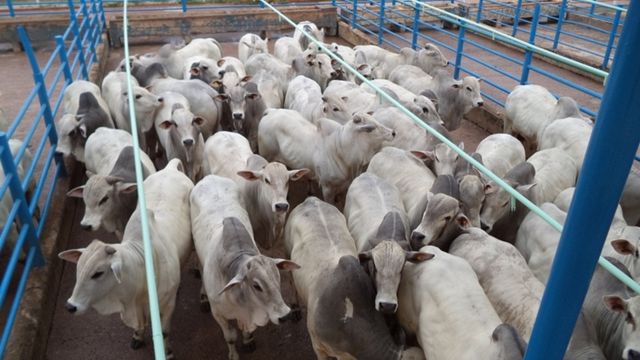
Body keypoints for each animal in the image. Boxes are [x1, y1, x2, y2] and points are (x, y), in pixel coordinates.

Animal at [191, 176, 298, 360]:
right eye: (256, 285)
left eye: (278, 277)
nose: (285, 315)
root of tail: (209, 177)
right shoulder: (218, 314)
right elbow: (230, 337)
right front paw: (233, 355)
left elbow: (245, 332)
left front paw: (248, 340)